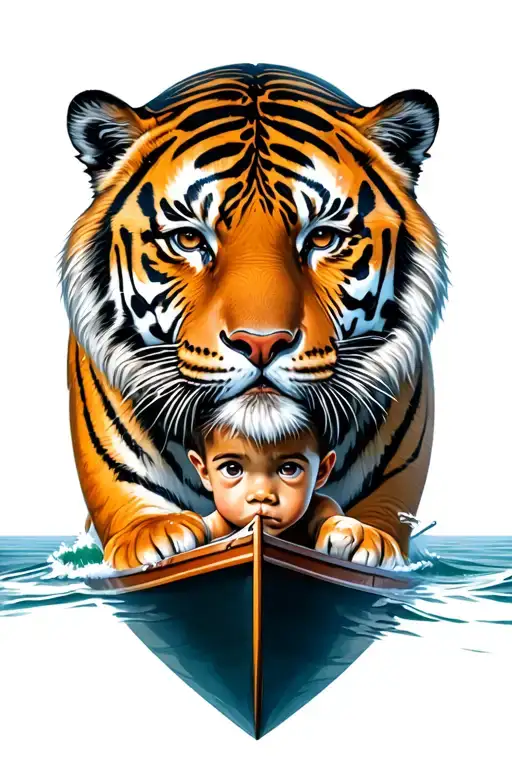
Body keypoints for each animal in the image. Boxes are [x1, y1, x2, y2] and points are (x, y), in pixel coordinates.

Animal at [62, 63, 447, 571]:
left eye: (322, 237)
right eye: (188, 239)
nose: (261, 343)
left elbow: (378, 517)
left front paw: (363, 539)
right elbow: (134, 512)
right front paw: (154, 537)